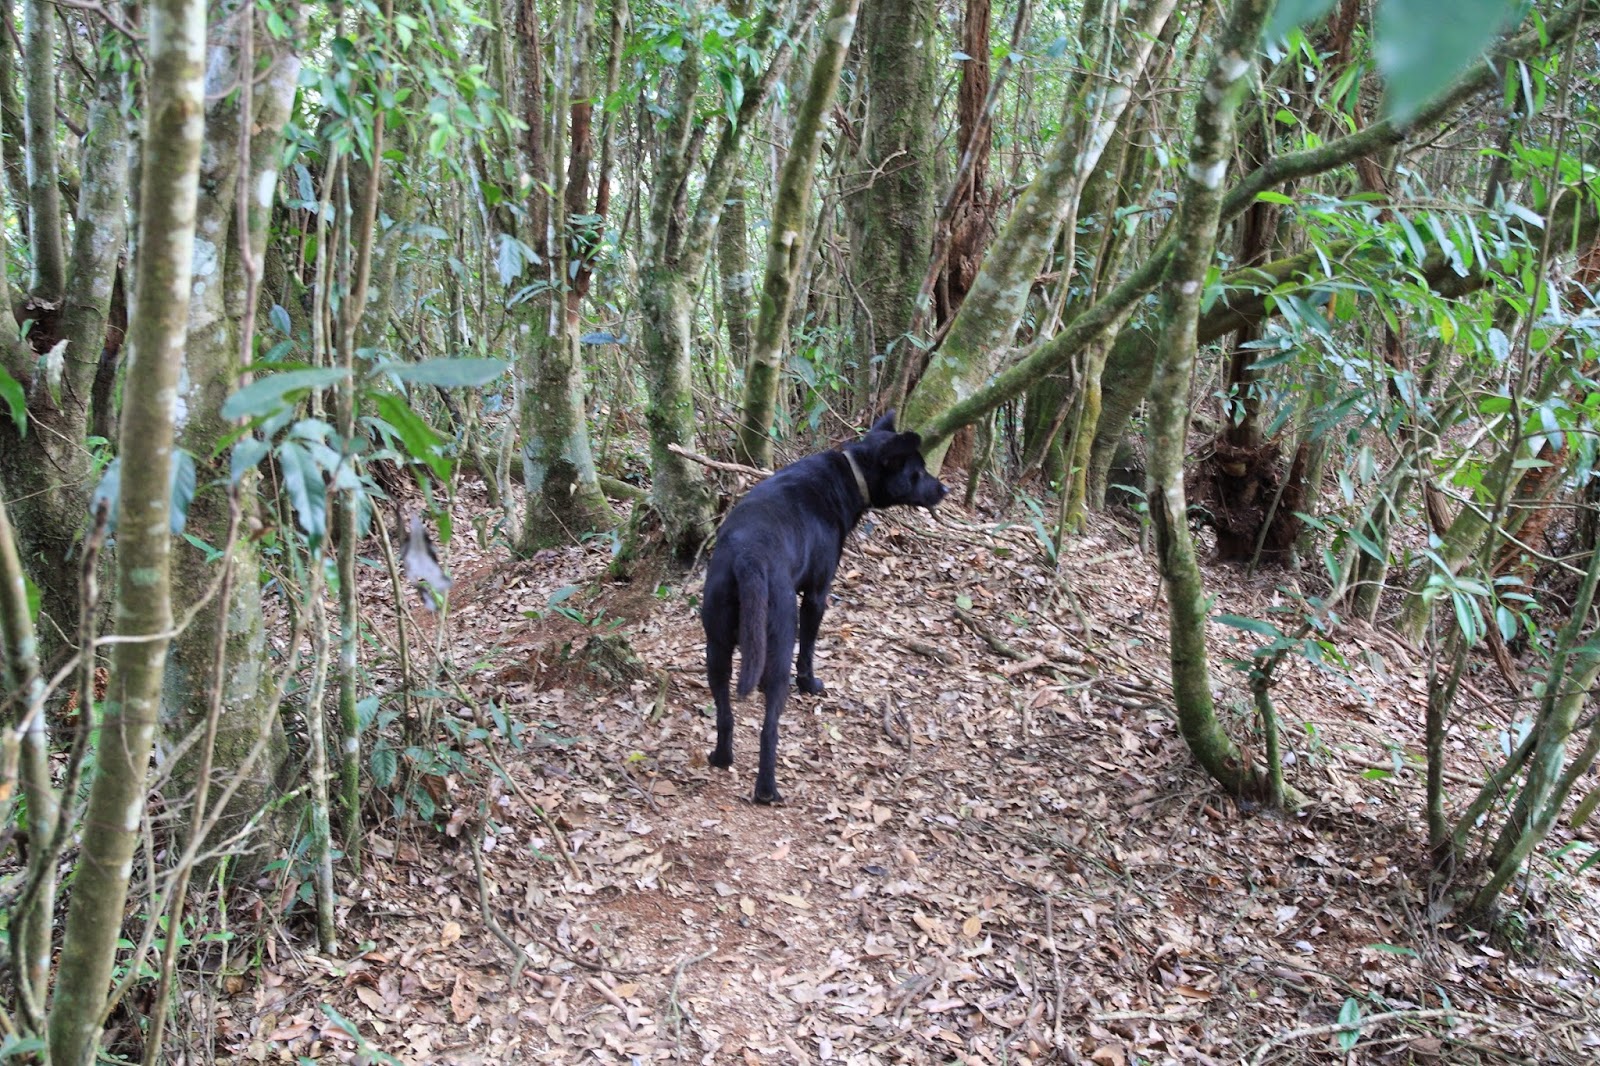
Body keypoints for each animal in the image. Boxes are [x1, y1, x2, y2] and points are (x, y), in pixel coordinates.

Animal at [701, 411, 948, 803]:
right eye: (919, 471)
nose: (944, 490)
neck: (850, 473)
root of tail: (748, 557)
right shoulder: (817, 595)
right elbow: (809, 649)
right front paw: (810, 684)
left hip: (716, 645)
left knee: (724, 713)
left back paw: (721, 758)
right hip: (781, 633)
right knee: (769, 728)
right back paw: (767, 789)